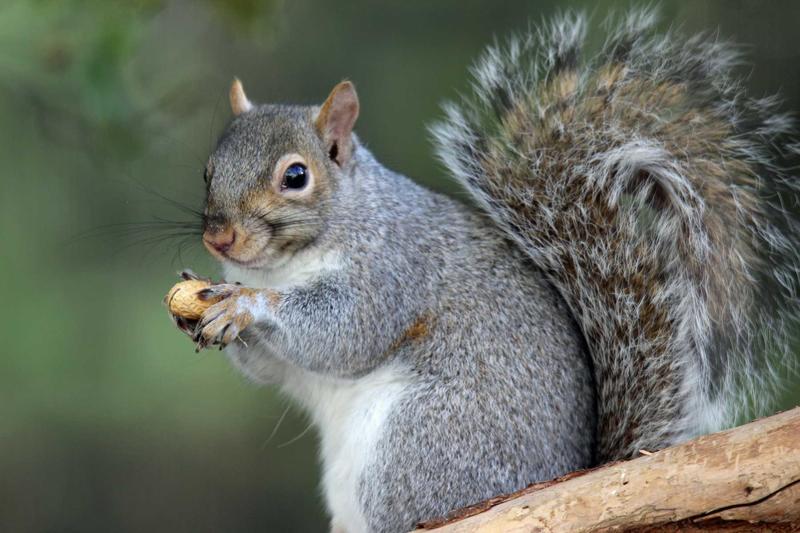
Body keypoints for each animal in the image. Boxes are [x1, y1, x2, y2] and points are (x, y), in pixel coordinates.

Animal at [169, 9, 800, 533]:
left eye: (296, 176)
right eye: (207, 171)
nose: (219, 236)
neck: (280, 266)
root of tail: (565, 476)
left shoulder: (393, 269)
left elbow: (346, 333)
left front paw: (247, 306)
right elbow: (273, 369)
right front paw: (208, 309)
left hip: (418, 445)